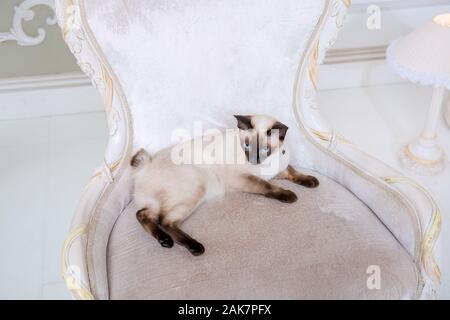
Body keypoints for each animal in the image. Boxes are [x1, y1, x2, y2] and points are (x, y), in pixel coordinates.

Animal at [130, 114, 320, 256]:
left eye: (264, 149)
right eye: (247, 146)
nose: (254, 160)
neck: (268, 165)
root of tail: (146, 164)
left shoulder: (281, 169)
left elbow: (294, 172)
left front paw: (311, 181)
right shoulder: (244, 178)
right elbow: (267, 186)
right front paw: (290, 195)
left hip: (158, 202)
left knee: (143, 214)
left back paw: (164, 241)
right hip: (197, 186)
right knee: (165, 220)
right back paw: (194, 247)